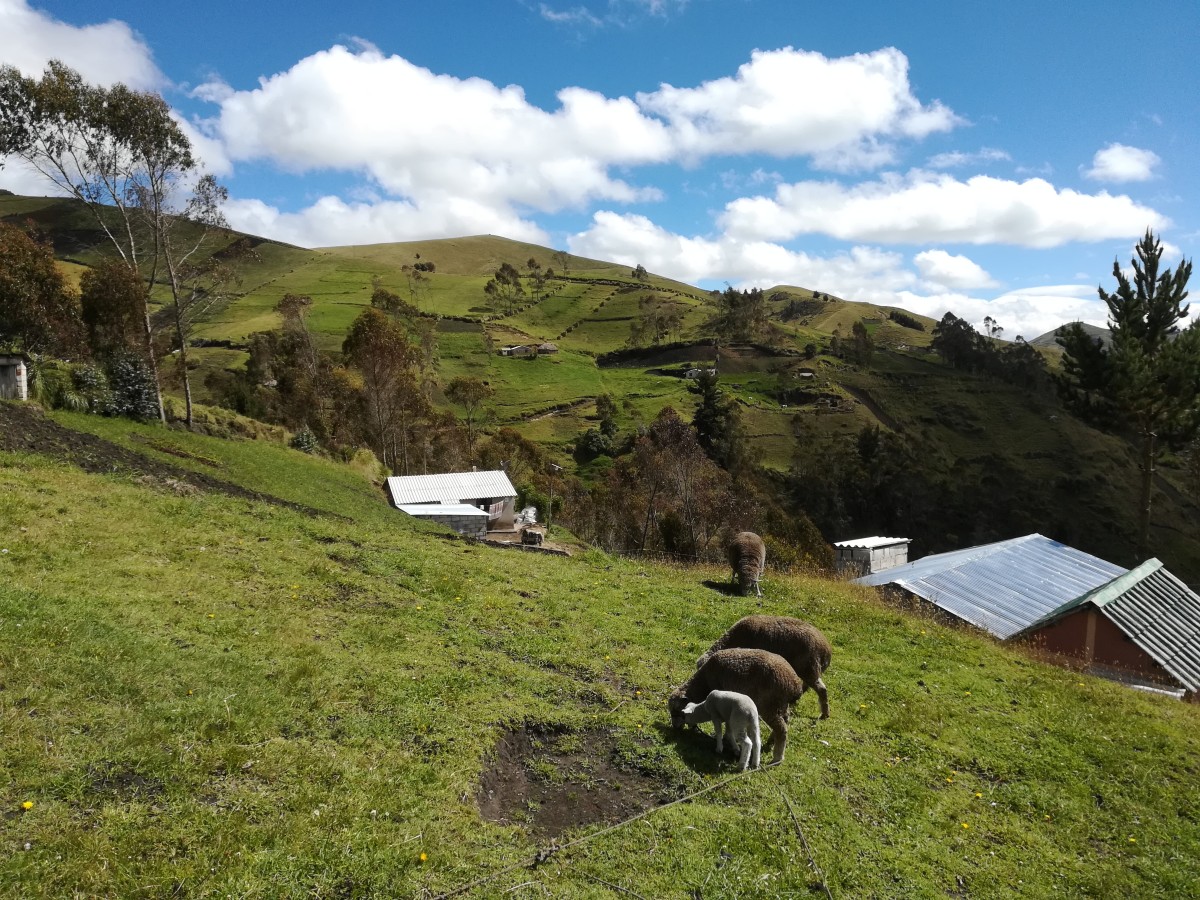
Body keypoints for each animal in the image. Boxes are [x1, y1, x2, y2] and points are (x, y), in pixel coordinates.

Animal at [667, 648, 806, 768]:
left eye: (676, 711)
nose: (675, 727)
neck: (704, 682)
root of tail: (795, 686)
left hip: (769, 706)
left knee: (781, 729)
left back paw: (777, 758)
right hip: (781, 705)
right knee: (785, 721)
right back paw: (771, 741)